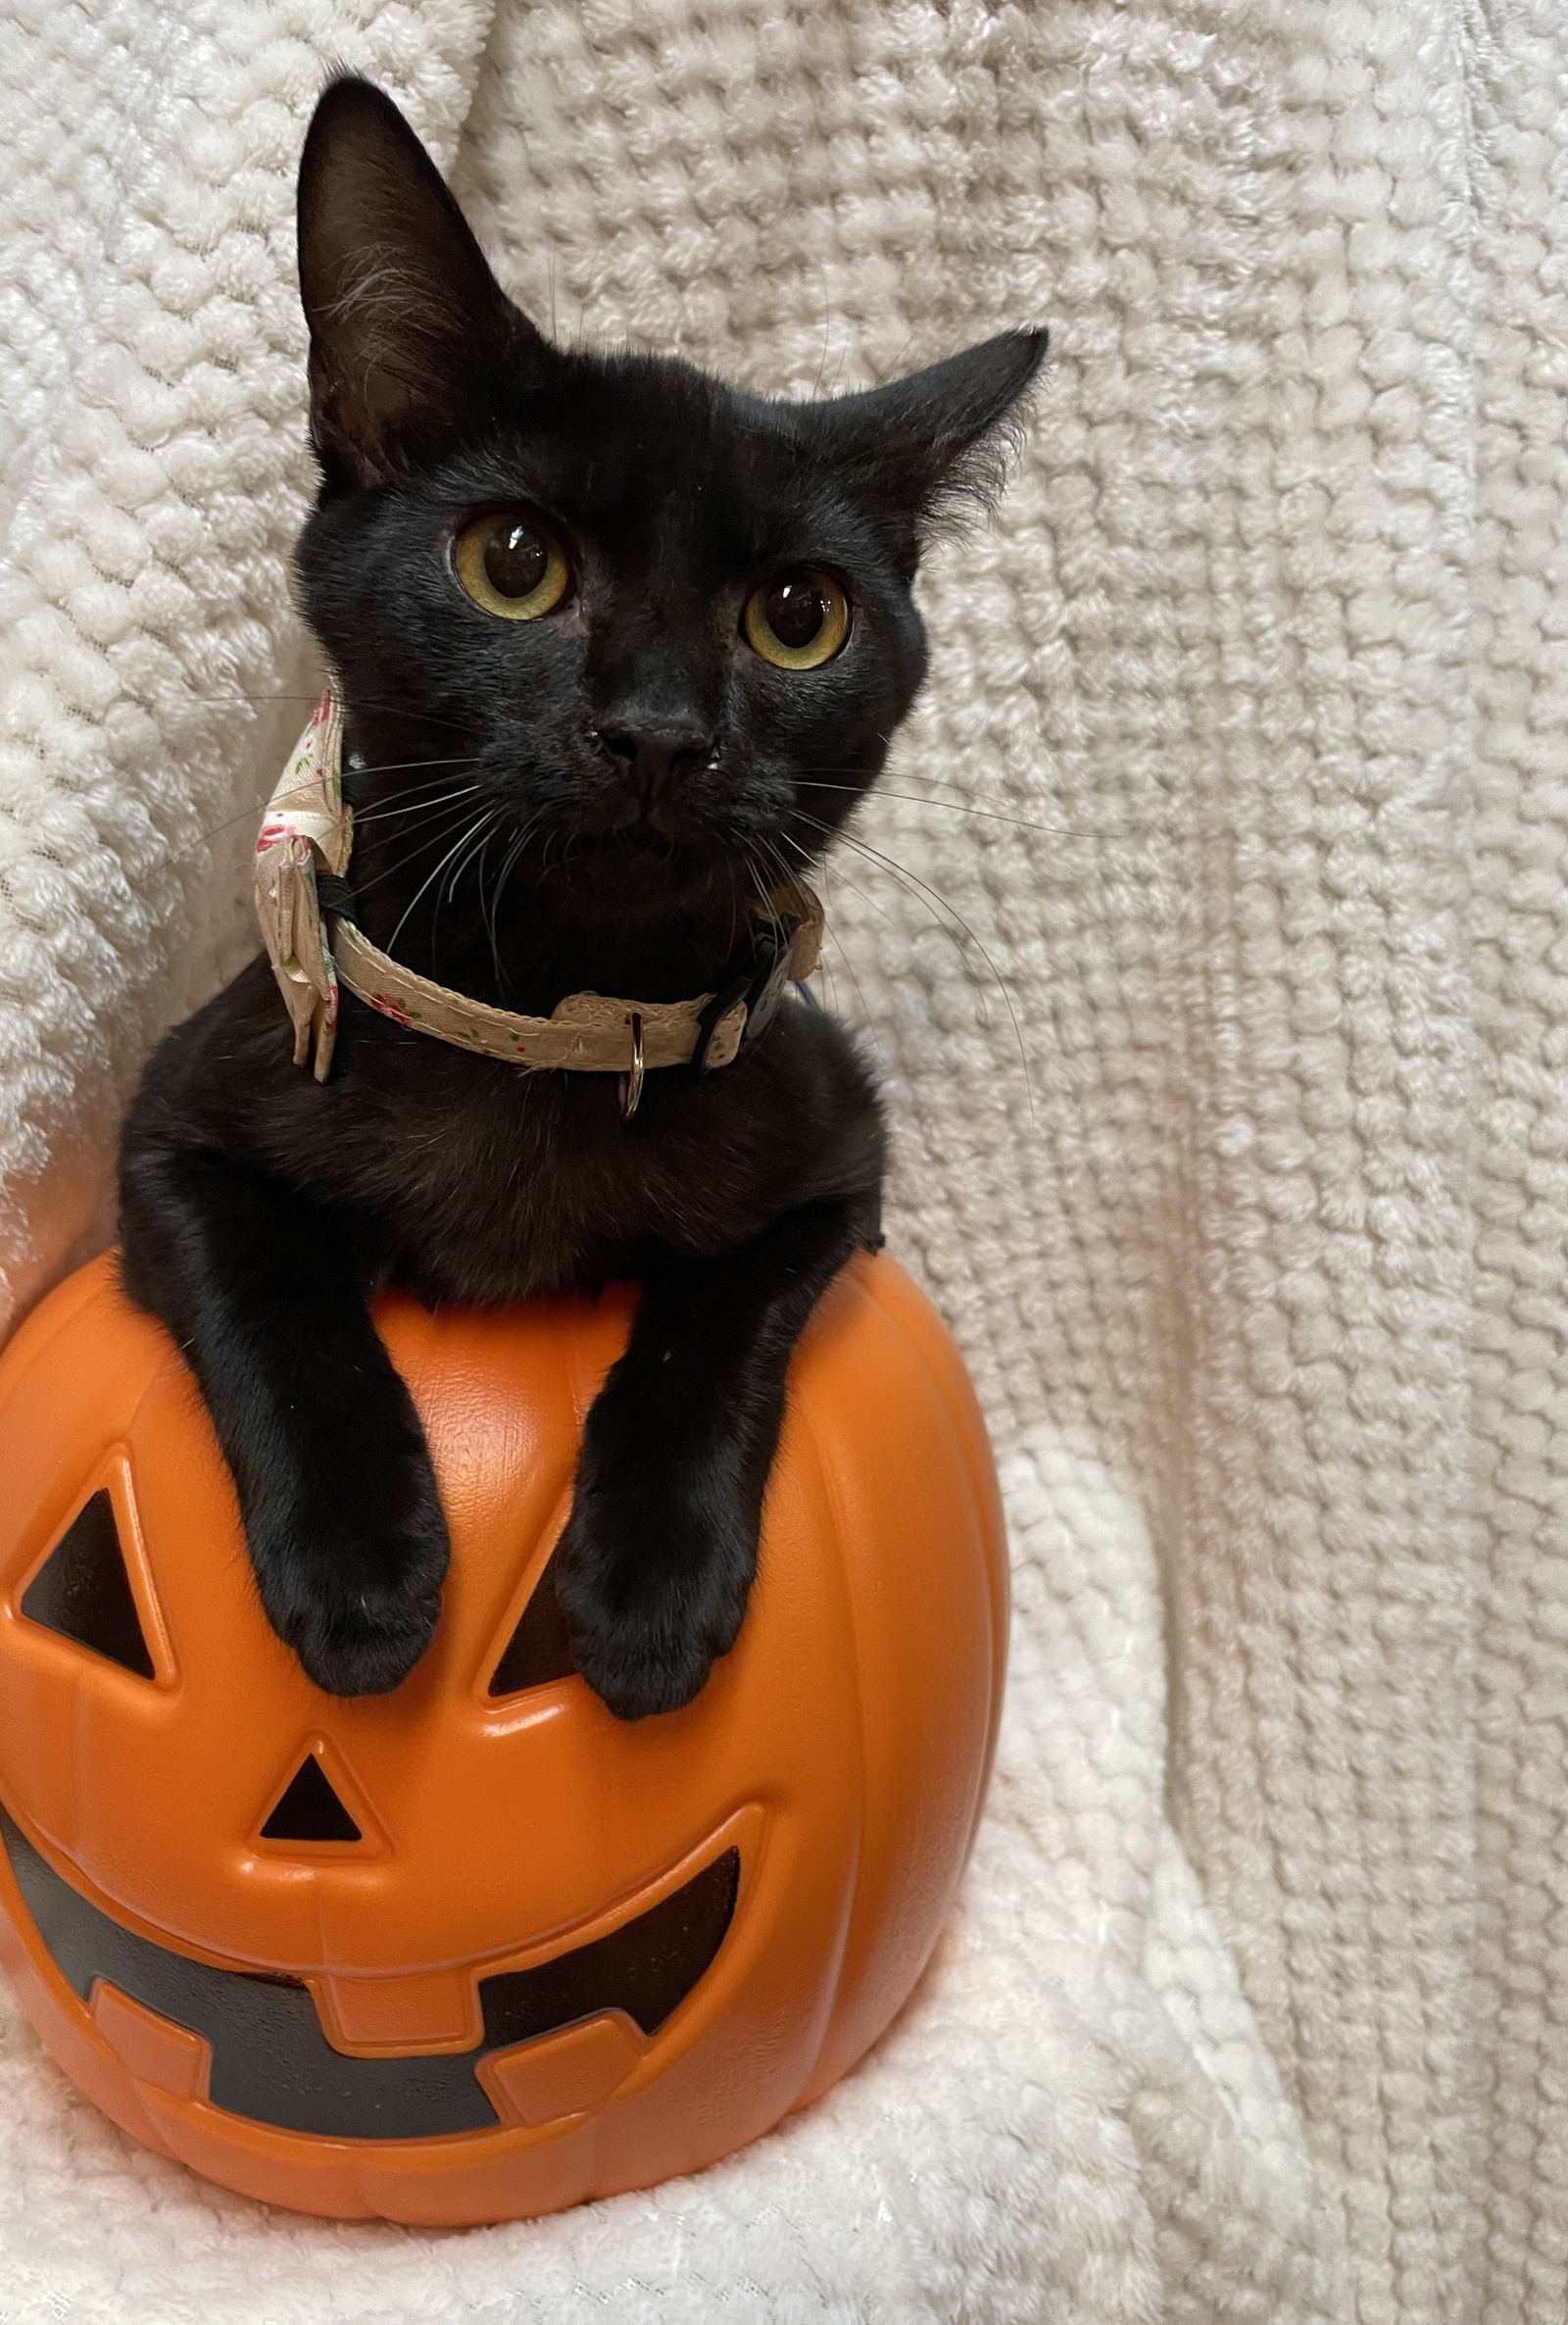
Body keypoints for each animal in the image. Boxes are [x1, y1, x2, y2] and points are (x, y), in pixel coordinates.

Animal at [113, 76, 1040, 1710]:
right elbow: (268, 1292)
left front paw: (653, 1588)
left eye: (798, 617)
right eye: (514, 564)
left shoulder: (834, 1151)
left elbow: (716, 1320)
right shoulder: (172, 1122)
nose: (660, 730)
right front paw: (359, 1572)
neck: (536, 1021)